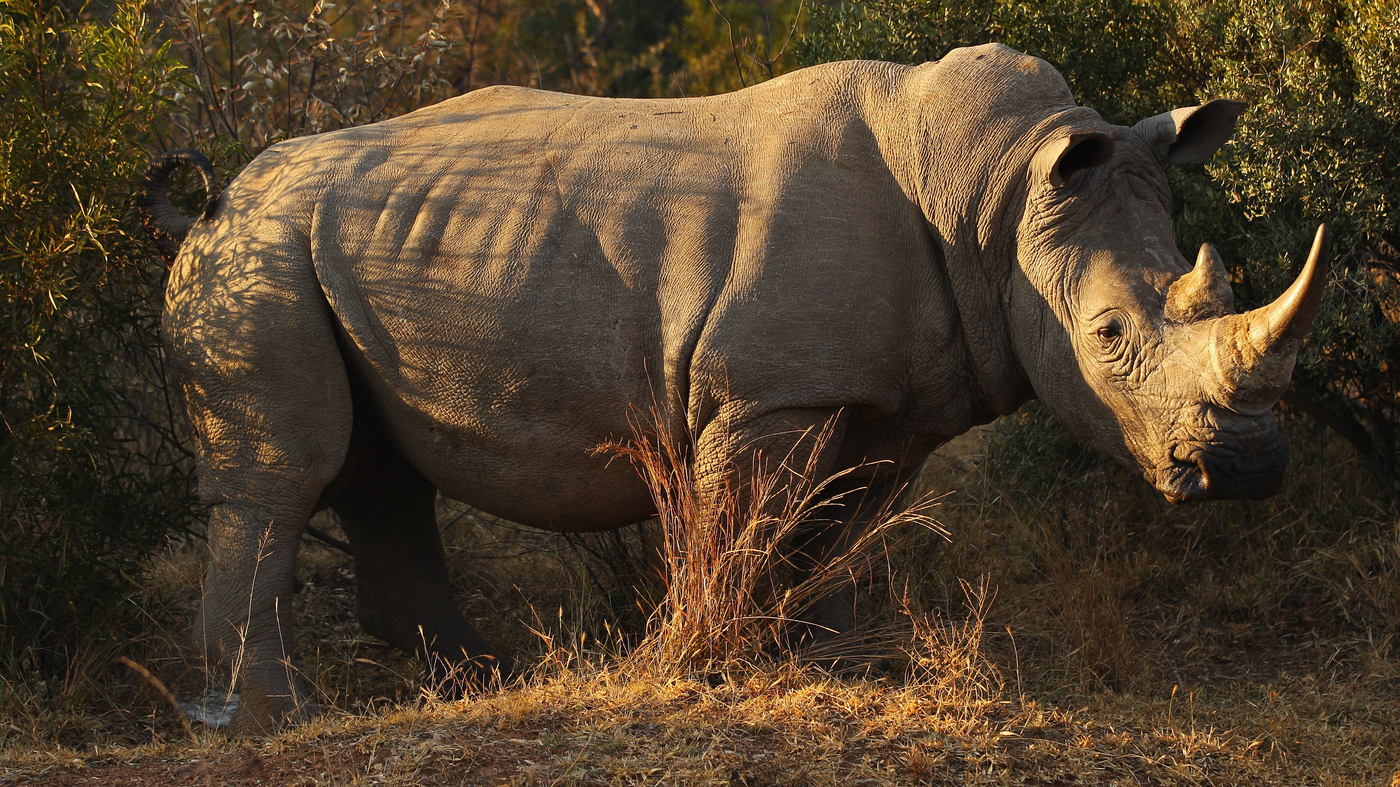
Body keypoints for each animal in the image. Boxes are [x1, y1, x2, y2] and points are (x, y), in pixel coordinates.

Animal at [139, 43, 1327, 732]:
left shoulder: (888, 403)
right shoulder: (769, 394)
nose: (1249, 467)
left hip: (336, 242)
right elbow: (745, 521)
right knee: (283, 478)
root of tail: (216, 195)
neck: (995, 192)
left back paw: (470, 680)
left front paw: (850, 669)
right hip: (258, 252)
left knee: (382, 477)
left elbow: (846, 527)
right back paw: (270, 719)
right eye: (1108, 334)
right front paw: (702, 666)